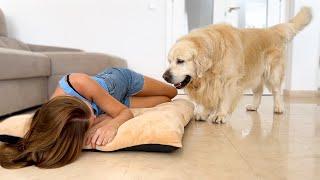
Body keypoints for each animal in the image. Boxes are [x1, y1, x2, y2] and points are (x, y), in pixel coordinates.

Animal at [164, 6, 312, 124]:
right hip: (255, 73)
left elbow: (224, 99)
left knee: (276, 91)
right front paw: (204, 112)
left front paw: (220, 115)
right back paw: (254, 106)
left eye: (180, 61)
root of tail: (271, 30)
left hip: (272, 73)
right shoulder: (211, 84)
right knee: (258, 90)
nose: (164, 76)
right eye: (169, 61)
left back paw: (279, 107)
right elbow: (209, 97)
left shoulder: (229, 81)